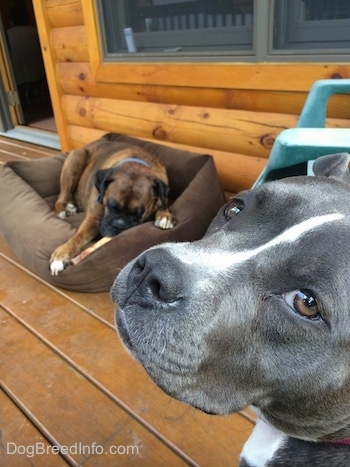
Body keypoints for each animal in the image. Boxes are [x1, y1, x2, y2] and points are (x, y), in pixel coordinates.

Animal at [49, 137, 175, 276]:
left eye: (138, 214)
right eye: (111, 205)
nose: (119, 225)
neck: (137, 165)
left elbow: (164, 204)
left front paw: (165, 216)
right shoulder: (94, 218)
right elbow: (78, 237)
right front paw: (61, 255)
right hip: (76, 160)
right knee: (62, 195)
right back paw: (63, 209)